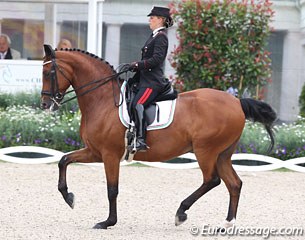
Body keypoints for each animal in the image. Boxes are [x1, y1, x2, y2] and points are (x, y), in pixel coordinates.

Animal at [39, 44, 276, 230]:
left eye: (49, 72)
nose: (45, 104)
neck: (103, 100)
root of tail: (237, 102)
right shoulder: (95, 152)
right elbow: (63, 160)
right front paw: (69, 197)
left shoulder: (109, 155)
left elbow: (112, 190)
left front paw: (107, 222)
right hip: (223, 154)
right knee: (234, 184)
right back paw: (226, 224)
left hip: (206, 151)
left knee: (212, 180)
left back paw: (181, 213)